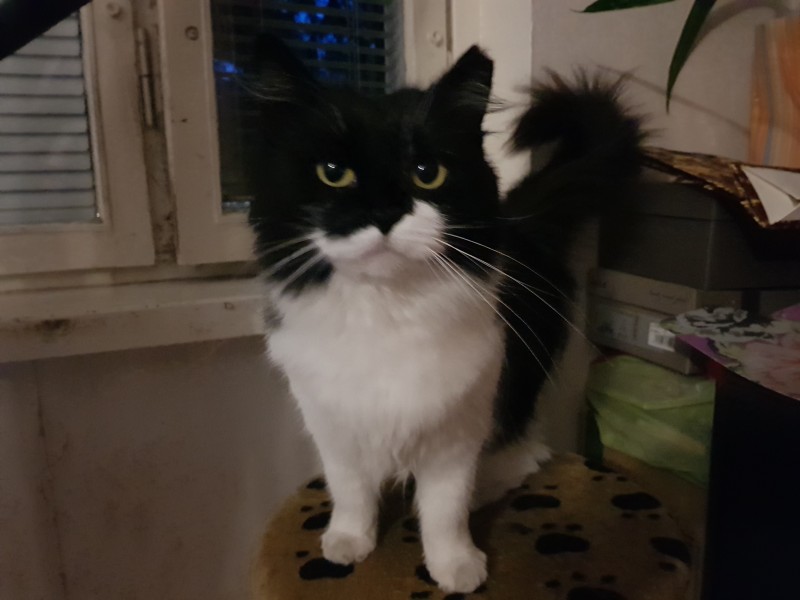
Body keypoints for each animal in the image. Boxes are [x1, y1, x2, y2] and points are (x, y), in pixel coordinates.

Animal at [246, 35, 643, 594]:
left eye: (426, 174)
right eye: (334, 174)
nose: (386, 214)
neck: (386, 309)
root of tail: (518, 219)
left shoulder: (458, 427)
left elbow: (444, 509)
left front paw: (455, 567)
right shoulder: (332, 422)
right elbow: (350, 490)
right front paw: (348, 542)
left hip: (516, 381)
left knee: (528, 451)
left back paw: (489, 484)